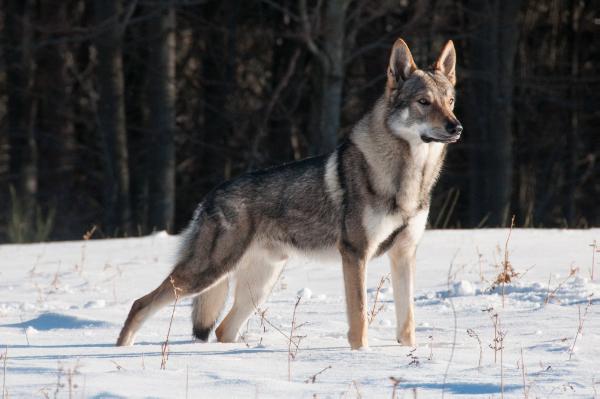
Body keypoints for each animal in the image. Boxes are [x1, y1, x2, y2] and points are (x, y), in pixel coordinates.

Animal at [118, 38, 464, 350]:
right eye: (423, 102)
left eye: (450, 101)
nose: (456, 127)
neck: (409, 178)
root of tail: (210, 196)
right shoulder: (355, 254)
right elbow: (359, 319)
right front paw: (360, 356)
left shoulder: (404, 254)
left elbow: (407, 323)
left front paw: (405, 354)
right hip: (207, 273)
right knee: (140, 303)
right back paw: (121, 350)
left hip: (258, 284)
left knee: (222, 330)